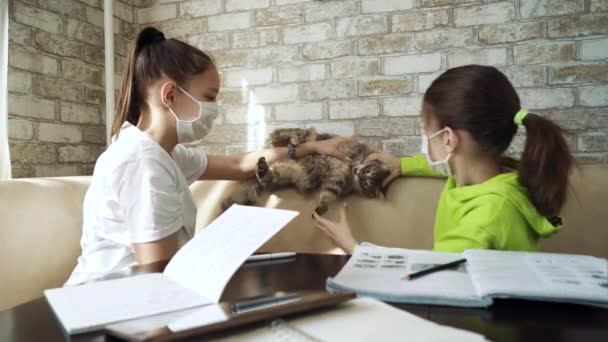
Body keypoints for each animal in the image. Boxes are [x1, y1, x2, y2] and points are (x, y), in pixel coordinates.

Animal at [222, 127, 390, 215]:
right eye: (367, 171)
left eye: (365, 183)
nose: (358, 172)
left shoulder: (336, 178)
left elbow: (328, 192)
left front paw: (322, 206)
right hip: (304, 136)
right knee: (288, 134)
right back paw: (293, 141)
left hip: (282, 174)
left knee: (267, 178)